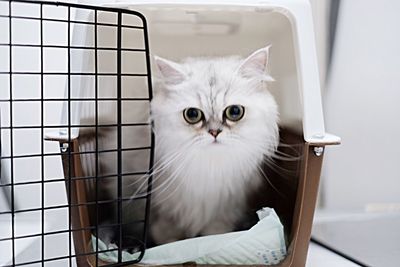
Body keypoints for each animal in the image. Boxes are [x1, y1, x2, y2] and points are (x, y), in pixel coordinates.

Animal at [149, 46, 278, 245]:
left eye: (235, 112)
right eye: (192, 114)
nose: (215, 132)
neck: (210, 166)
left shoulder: (223, 212)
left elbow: (215, 235)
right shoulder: (165, 213)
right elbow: (167, 236)